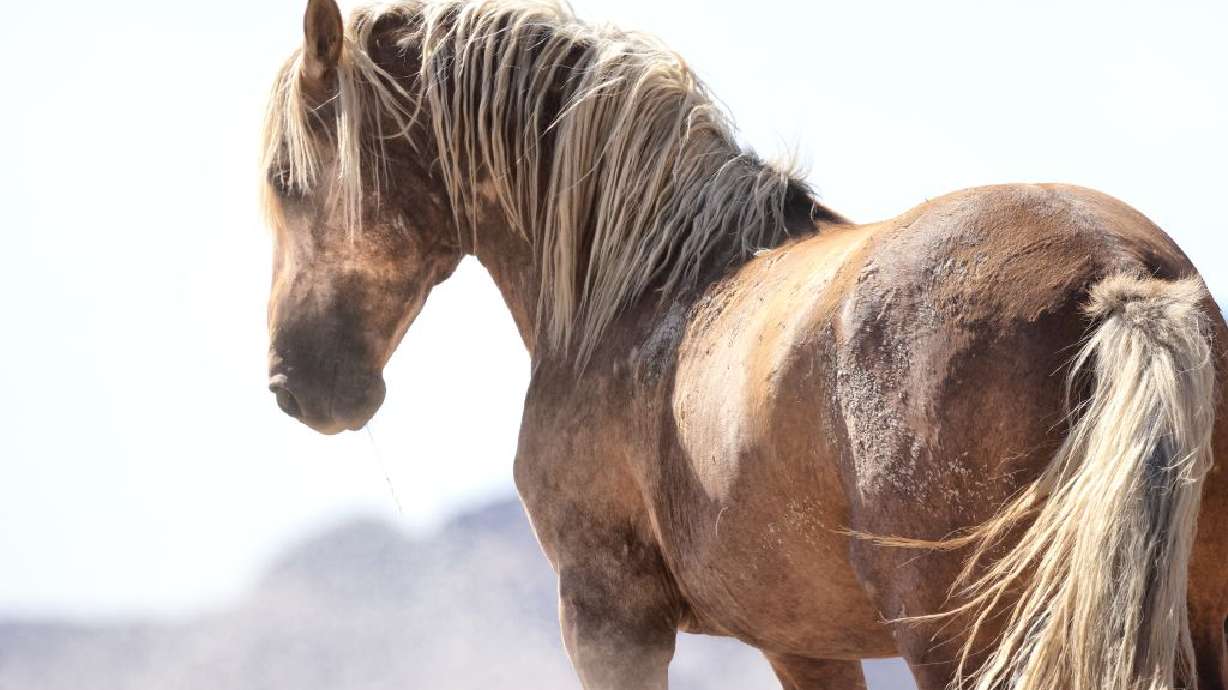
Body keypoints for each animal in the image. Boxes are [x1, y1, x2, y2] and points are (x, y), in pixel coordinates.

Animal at [260, 1, 1228, 689]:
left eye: (283, 178)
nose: (294, 386)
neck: (644, 282)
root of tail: (1117, 277)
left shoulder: (610, 622)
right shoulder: (804, 643)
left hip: (960, 641)